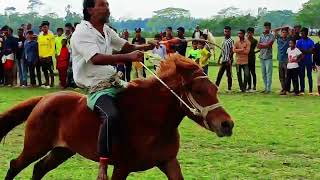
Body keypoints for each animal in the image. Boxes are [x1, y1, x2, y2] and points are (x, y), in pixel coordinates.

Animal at [0, 54, 235, 179]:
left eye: (214, 88)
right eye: (198, 91)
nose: (227, 124)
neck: (151, 121)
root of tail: (45, 99)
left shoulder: (169, 162)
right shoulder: (121, 168)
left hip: (62, 150)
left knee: (39, 168)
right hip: (35, 147)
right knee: (15, 165)